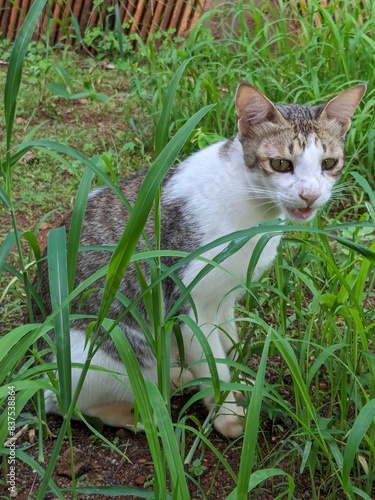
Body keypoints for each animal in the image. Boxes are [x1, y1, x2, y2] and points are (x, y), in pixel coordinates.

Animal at [34, 82, 364, 438]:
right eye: (280, 164)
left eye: (329, 163)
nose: (310, 195)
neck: (252, 209)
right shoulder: (187, 303)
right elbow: (213, 363)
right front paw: (229, 415)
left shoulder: (226, 296)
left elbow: (227, 346)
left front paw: (242, 383)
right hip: (113, 348)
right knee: (69, 404)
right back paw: (143, 414)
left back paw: (177, 376)